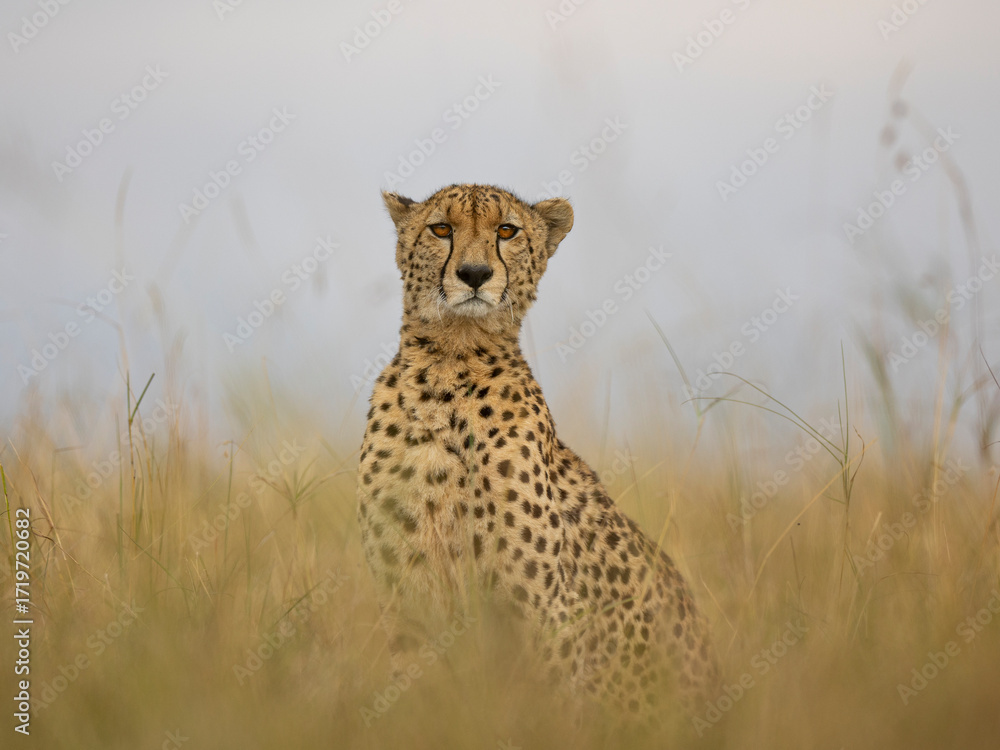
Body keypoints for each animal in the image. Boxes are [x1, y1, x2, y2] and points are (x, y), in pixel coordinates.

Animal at [357, 183, 718, 726]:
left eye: (507, 231)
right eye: (441, 229)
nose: (475, 274)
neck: (450, 364)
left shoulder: (545, 614)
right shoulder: (409, 604)